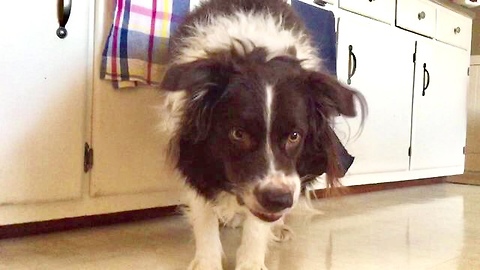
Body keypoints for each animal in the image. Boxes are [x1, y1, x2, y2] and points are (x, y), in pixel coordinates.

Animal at [159, 0, 366, 270]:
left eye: (294, 136)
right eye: (238, 134)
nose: (279, 200)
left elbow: (258, 224)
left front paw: (251, 260)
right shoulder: (193, 151)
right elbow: (204, 212)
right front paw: (207, 261)